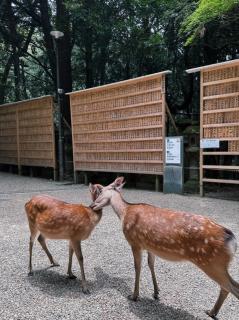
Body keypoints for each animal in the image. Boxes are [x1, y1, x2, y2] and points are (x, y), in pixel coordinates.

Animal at [90, 176, 239, 318]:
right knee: (228, 287)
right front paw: (156, 292)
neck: (124, 212)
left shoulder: (134, 242)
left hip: (212, 262)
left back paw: (212, 311)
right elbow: (151, 264)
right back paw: (212, 312)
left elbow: (137, 267)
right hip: (218, 264)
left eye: (101, 191)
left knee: (231, 287)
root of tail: (231, 239)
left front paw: (134, 296)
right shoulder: (150, 246)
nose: (91, 205)